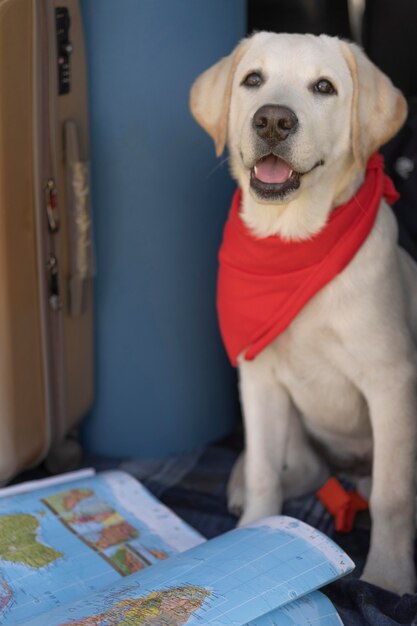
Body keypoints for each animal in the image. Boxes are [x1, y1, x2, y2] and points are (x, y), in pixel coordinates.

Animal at [189, 31, 416, 592]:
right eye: (253, 80)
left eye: (324, 87)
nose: (273, 120)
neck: (291, 242)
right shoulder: (260, 379)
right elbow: (264, 470)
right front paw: (252, 534)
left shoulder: (392, 382)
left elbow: (393, 496)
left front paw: (388, 579)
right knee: (300, 470)